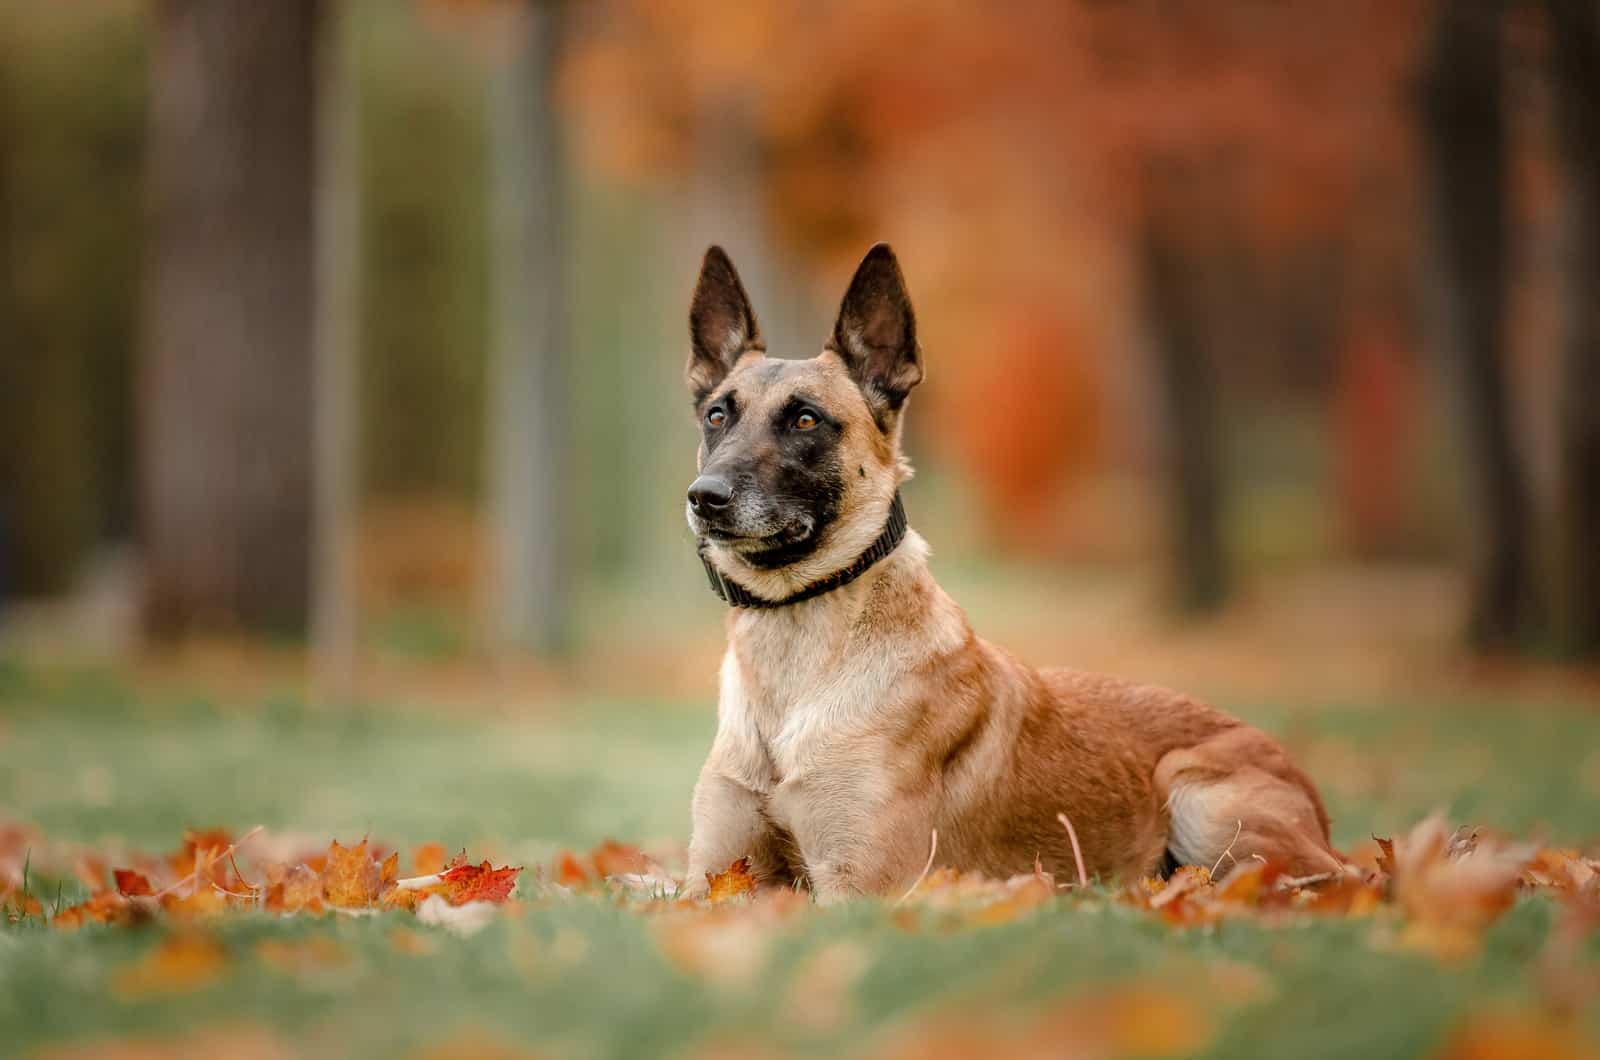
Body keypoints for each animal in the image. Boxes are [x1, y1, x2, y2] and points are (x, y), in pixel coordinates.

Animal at [681, 244, 1344, 903]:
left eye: (806, 420)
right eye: (716, 416)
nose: (704, 497)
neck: (795, 659)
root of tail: (1310, 792)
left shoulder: (862, 887)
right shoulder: (709, 878)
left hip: (1202, 804)